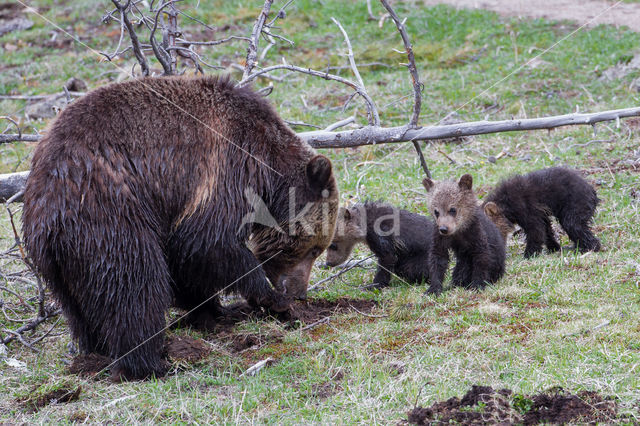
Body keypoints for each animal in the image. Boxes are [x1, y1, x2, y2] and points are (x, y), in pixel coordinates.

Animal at [21, 75, 340, 380]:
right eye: (314, 249)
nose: (299, 293)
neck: (269, 170)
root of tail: (48, 208)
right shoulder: (226, 167)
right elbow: (206, 242)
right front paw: (271, 299)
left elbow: (186, 262)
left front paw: (217, 310)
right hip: (109, 214)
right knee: (135, 284)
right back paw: (152, 362)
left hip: (56, 260)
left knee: (81, 307)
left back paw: (95, 353)